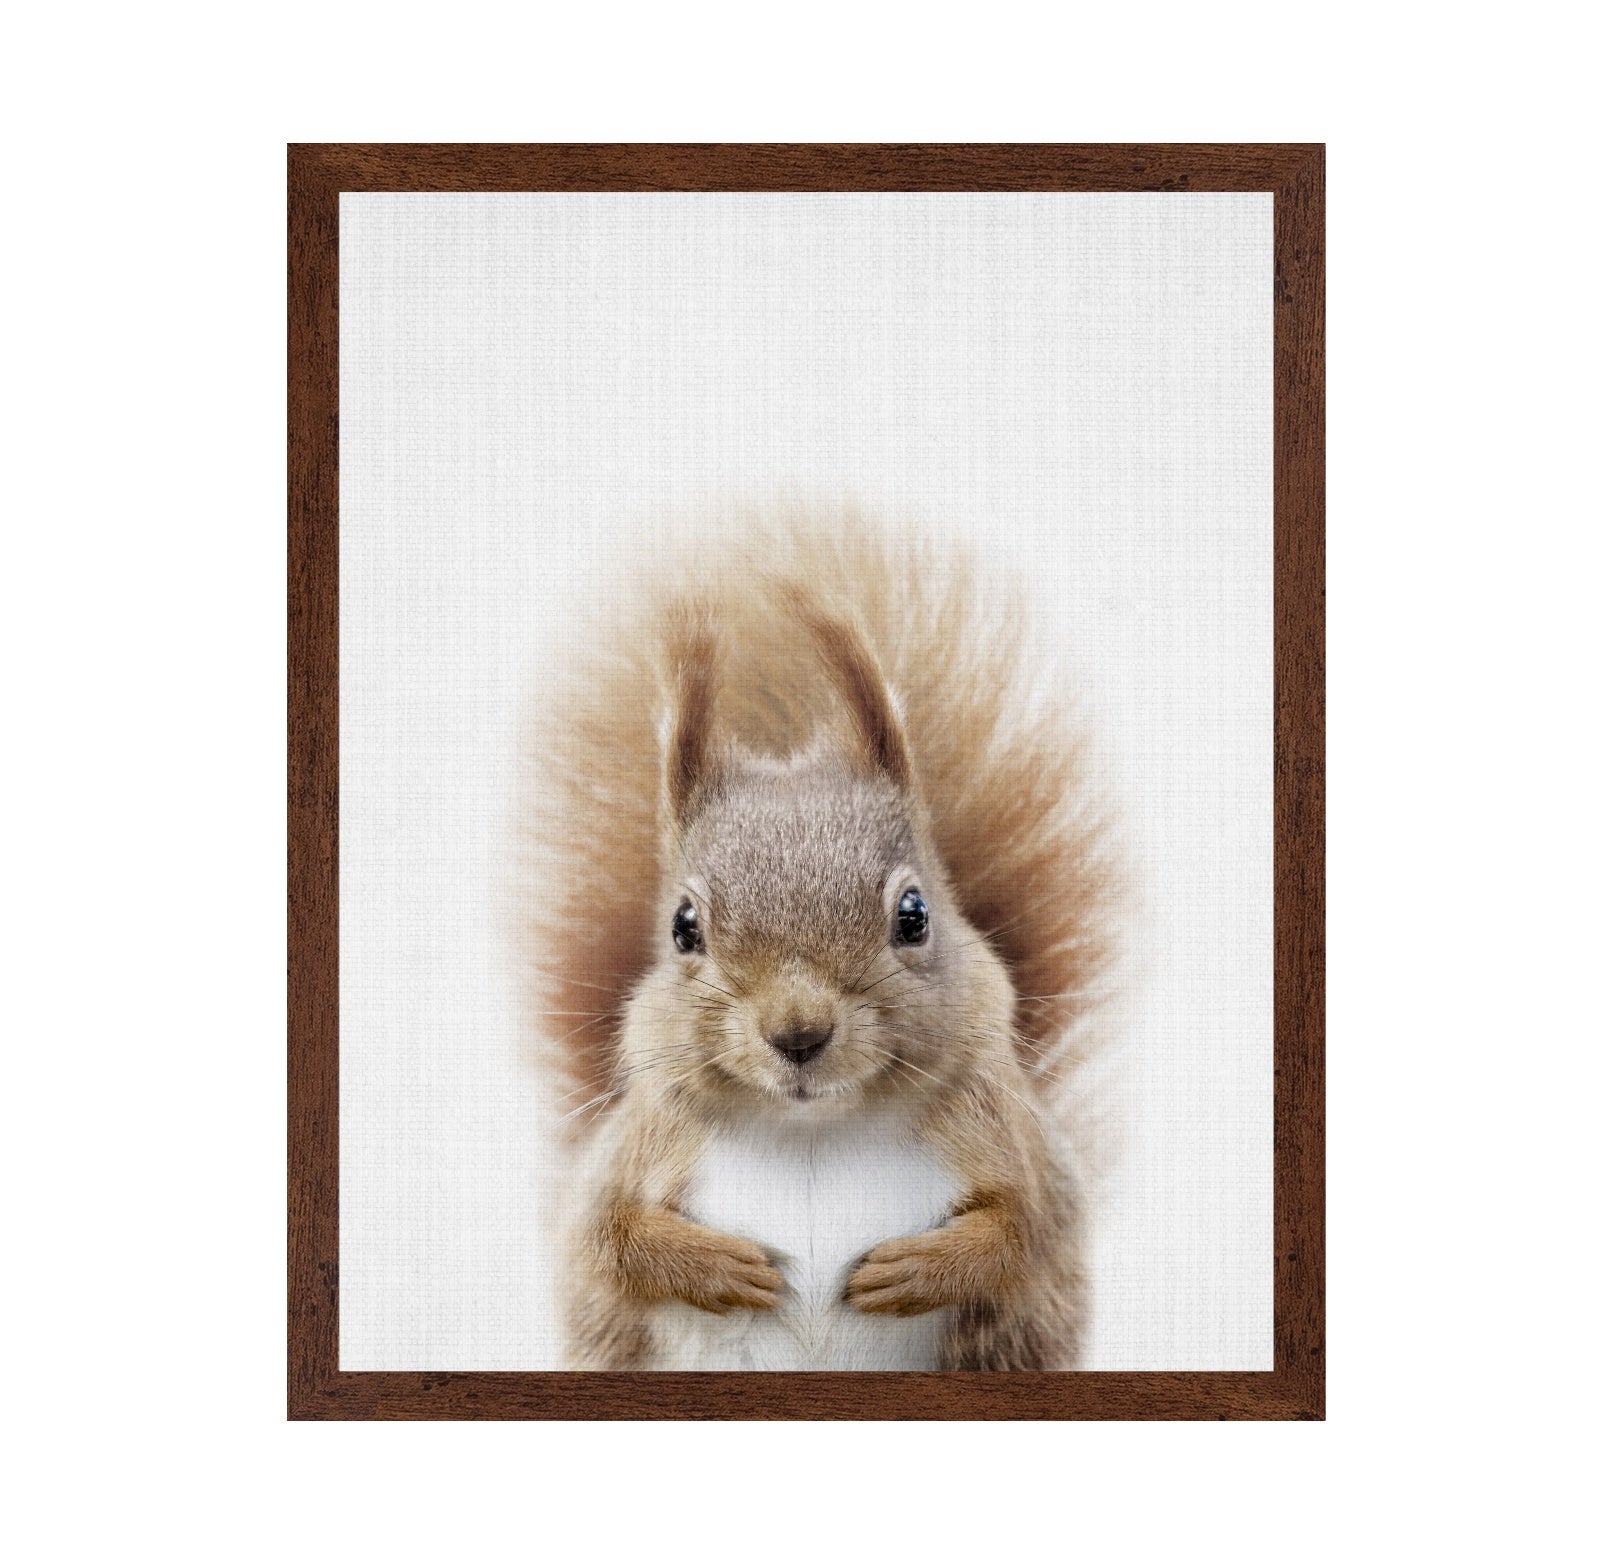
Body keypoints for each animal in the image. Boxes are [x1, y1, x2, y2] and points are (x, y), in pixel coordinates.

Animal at [521, 513, 1123, 1370]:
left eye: (914, 914)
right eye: (683, 926)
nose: (799, 1032)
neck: (813, 1130)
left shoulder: (1018, 1144)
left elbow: (1027, 1228)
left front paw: (919, 1266)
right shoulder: (633, 1151)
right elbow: (608, 1237)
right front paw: (718, 1264)